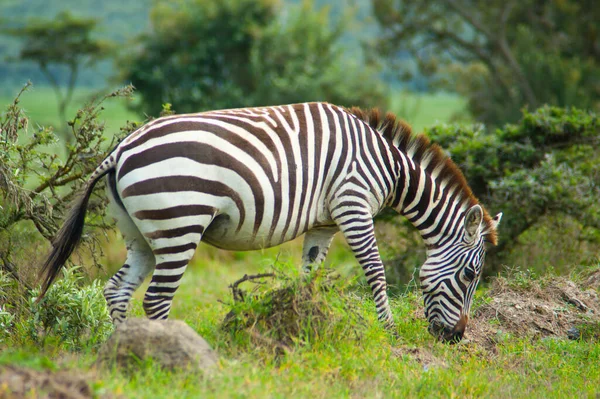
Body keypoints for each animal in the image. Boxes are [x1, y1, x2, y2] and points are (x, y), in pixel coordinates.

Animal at [38, 102, 502, 344]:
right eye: (470, 275)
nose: (457, 337)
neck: (385, 164)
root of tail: (121, 149)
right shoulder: (353, 204)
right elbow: (376, 271)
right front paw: (388, 332)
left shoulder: (323, 223)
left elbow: (309, 273)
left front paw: (306, 322)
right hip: (179, 225)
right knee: (155, 299)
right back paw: (170, 350)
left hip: (141, 235)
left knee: (117, 292)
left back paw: (123, 351)